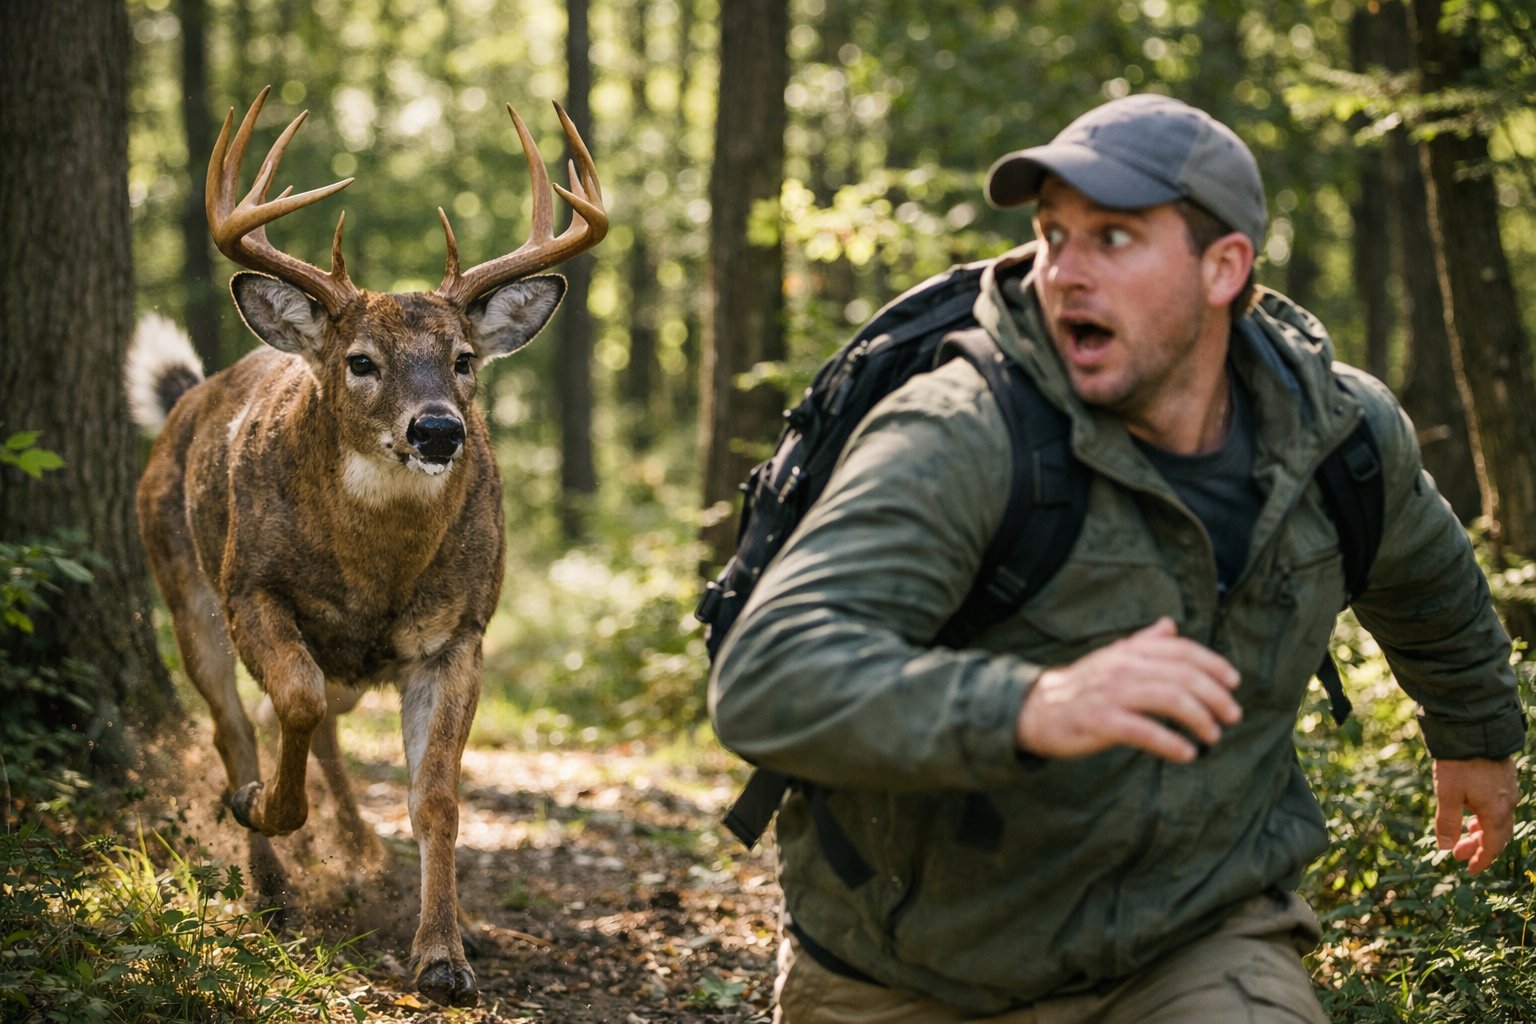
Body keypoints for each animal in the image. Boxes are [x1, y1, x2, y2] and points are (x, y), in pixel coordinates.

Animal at [124, 86, 606, 1008]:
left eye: (463, 358)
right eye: (360, 361)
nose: (439, 430)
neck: (376, 573)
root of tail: (188, 397)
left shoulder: (460, 633)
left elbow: (436, 797)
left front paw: (444, 953)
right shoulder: (250, 589)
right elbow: (293, 701)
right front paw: (264, 809)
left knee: (322, 733)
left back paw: (363, 856)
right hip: (183, 588)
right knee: (235, 726)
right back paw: (272, 881)